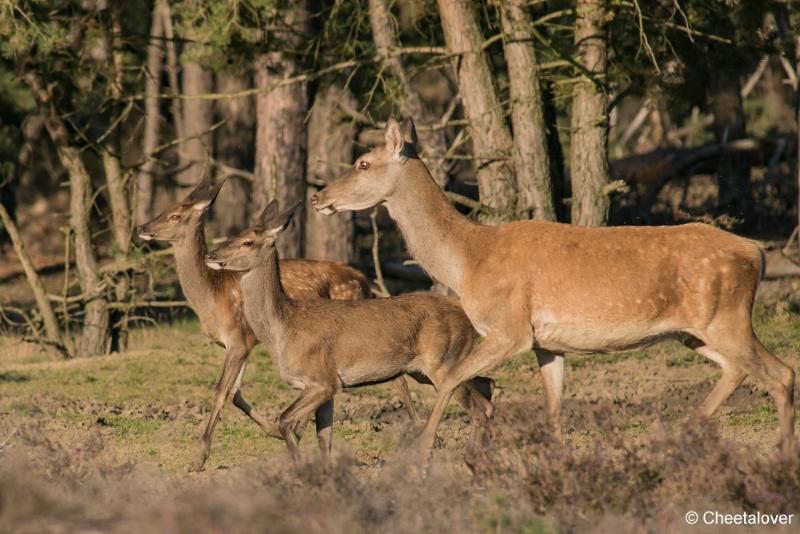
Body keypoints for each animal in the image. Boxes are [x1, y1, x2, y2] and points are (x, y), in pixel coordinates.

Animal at [137, 178, 422, 472]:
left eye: (175, 215)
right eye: (166, 209)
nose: (141, 228)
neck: (212, 299)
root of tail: (364, 281)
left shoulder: (239, 338)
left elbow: (221, 391)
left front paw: (199, 458)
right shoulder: (238, 344)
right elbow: (236, 392)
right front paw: (277, 431)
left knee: (396, 379)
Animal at [206, 201, 494, 464]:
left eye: (247, 242)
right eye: (236, 234)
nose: (210, 254)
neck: (282, 330)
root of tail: (465, 315)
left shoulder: (322, 379)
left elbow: (285, 419)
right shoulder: (328, 386)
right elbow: (324, 438)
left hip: (442, 362)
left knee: (480, 406)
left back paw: (471, 461)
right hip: (425, 369)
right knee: (487, 385)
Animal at [310, 119, 792, 458]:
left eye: (363, 163)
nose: (318, 198)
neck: (469, 260)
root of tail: (757, 251)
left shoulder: (510, 328)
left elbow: (449, 378)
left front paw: (421, 456)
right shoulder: (547, 344)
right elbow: (554, 411)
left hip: (726, 316)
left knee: (781, 372)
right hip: (694, 331)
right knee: (740, 370)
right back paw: (682, 437)